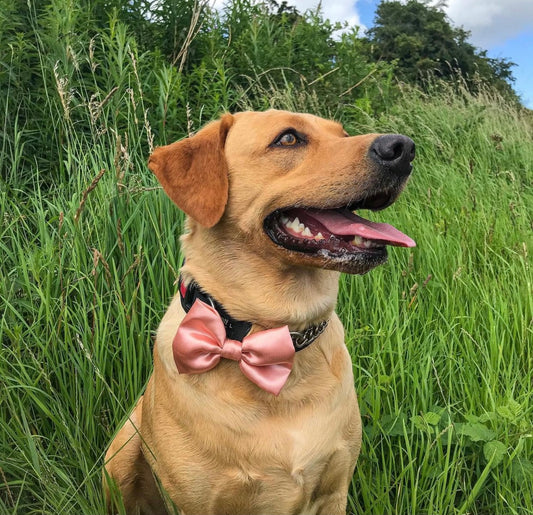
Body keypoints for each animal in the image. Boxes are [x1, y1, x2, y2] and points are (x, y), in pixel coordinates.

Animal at [102, 110, 414, 515]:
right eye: (288, 138)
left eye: (343, 134)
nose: (403, 147)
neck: (269, 336)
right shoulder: (198, 504)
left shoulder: (334, 491)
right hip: (121, 450)